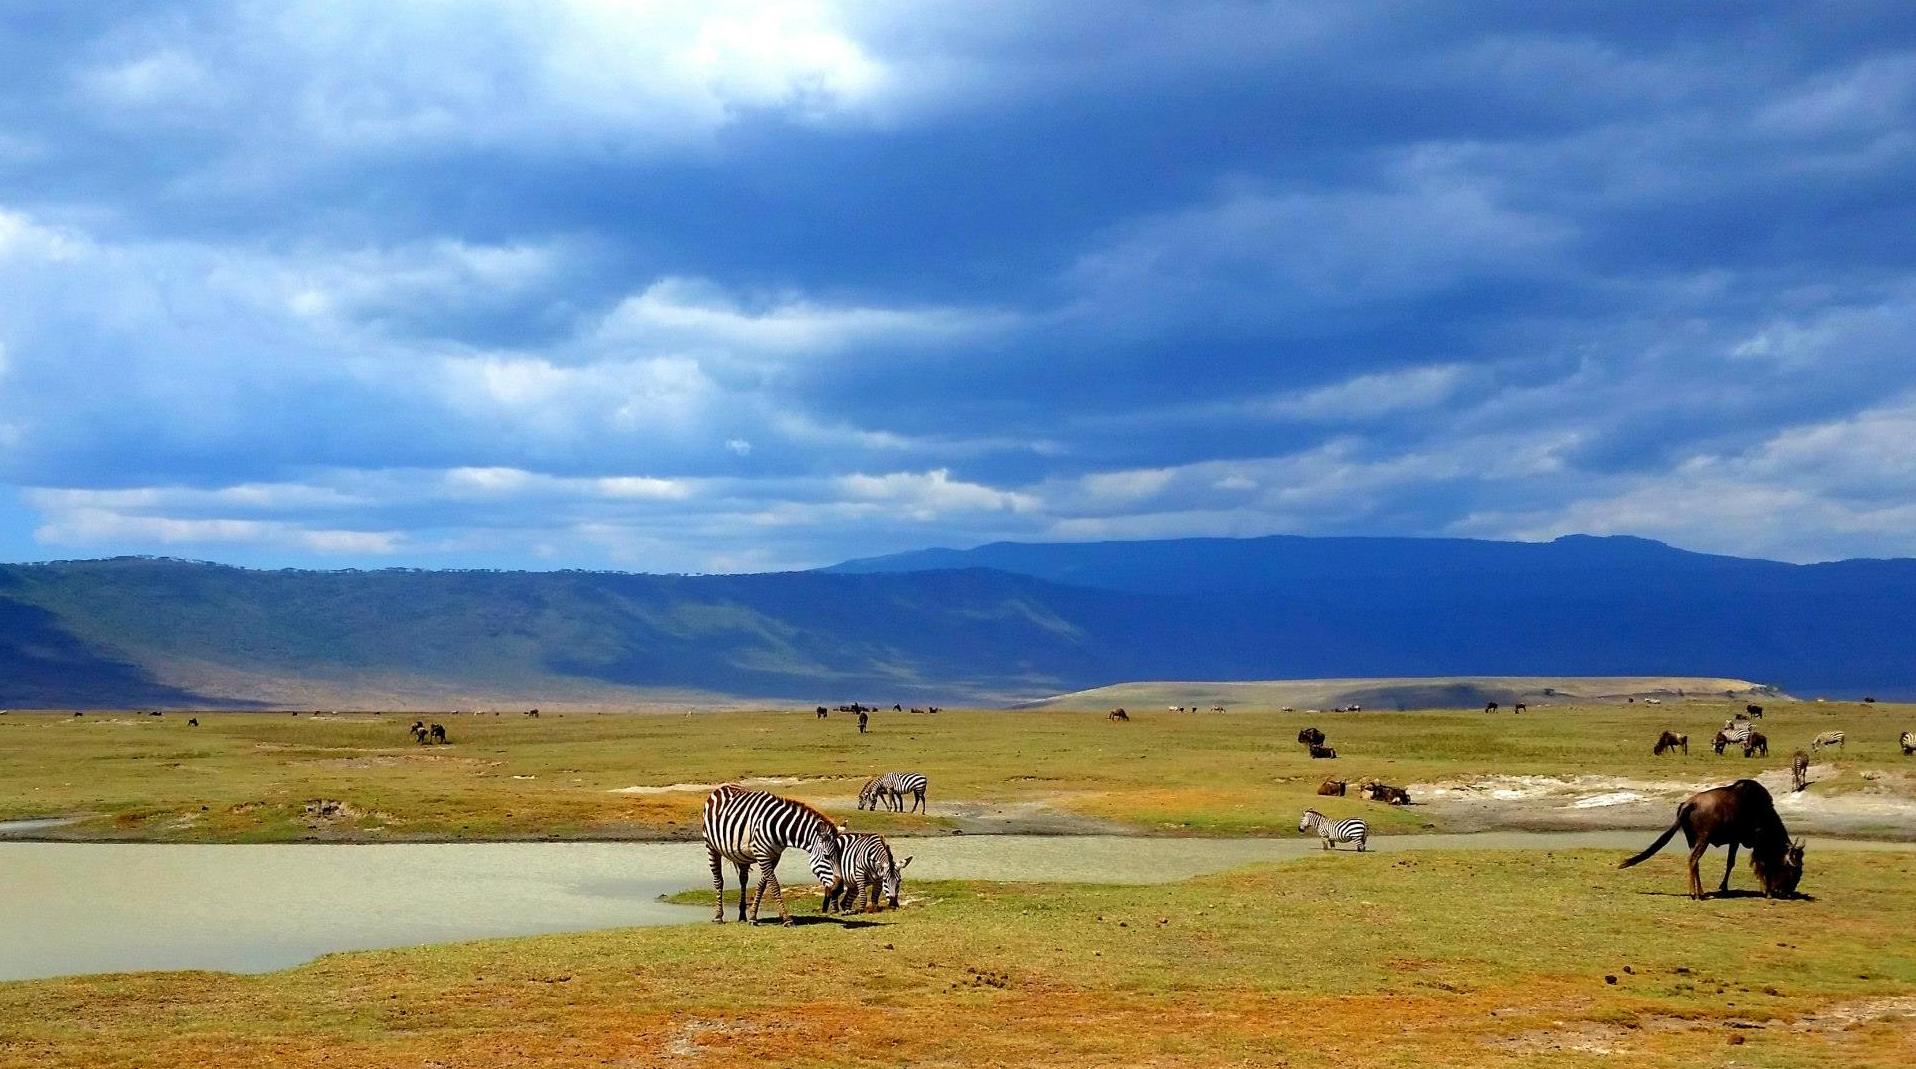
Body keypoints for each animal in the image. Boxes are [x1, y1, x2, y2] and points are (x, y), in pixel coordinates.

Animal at [701, 785, 843, 927]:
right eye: (826, 856)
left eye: (839, 856)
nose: (840, 889)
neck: (780, 829)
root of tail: (723, 787)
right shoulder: (762, 854)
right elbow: (774, 885)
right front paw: (786, 918)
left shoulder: (774, 856)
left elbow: (762, 885)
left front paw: (753, 916)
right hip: (711, 846)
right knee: (718, 880)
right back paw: (718, 916)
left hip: (741, 855)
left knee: (743, 880)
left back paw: (742, 915)